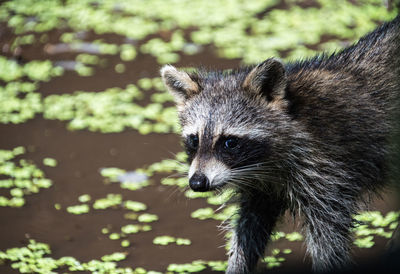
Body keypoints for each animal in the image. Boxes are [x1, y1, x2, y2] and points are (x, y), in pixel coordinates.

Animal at [161, 15, 398, 274]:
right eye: (194, 140)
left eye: (229, 142)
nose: (197, 182)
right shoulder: (262, 188)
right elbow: (249, 229)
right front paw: (237, 264)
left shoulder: (327, 172)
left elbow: (328, 238)